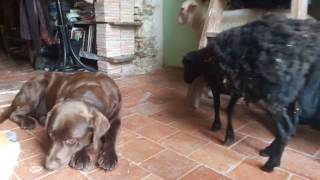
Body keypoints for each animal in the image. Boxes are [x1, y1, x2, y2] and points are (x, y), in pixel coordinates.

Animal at [182, 15, 320, 172]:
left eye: (186, 64)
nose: (186, 80)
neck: (207, 58)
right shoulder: (234, 89)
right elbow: (226, 109)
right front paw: (226, 132)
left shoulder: (222, 86)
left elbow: (221, 107)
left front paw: (222, 131)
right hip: (291, 97)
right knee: (292, 124)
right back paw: (268, 151)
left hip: (273, 96)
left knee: (285, 129)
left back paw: (271, 164)